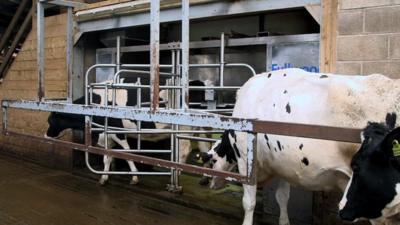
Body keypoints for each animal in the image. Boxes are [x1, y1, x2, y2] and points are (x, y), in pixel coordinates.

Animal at [202, 68, 400, 225]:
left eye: (212, 161)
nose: (210, 185)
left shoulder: (246, 159)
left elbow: (249, 202)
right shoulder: (282, 163)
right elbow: (282, 197)